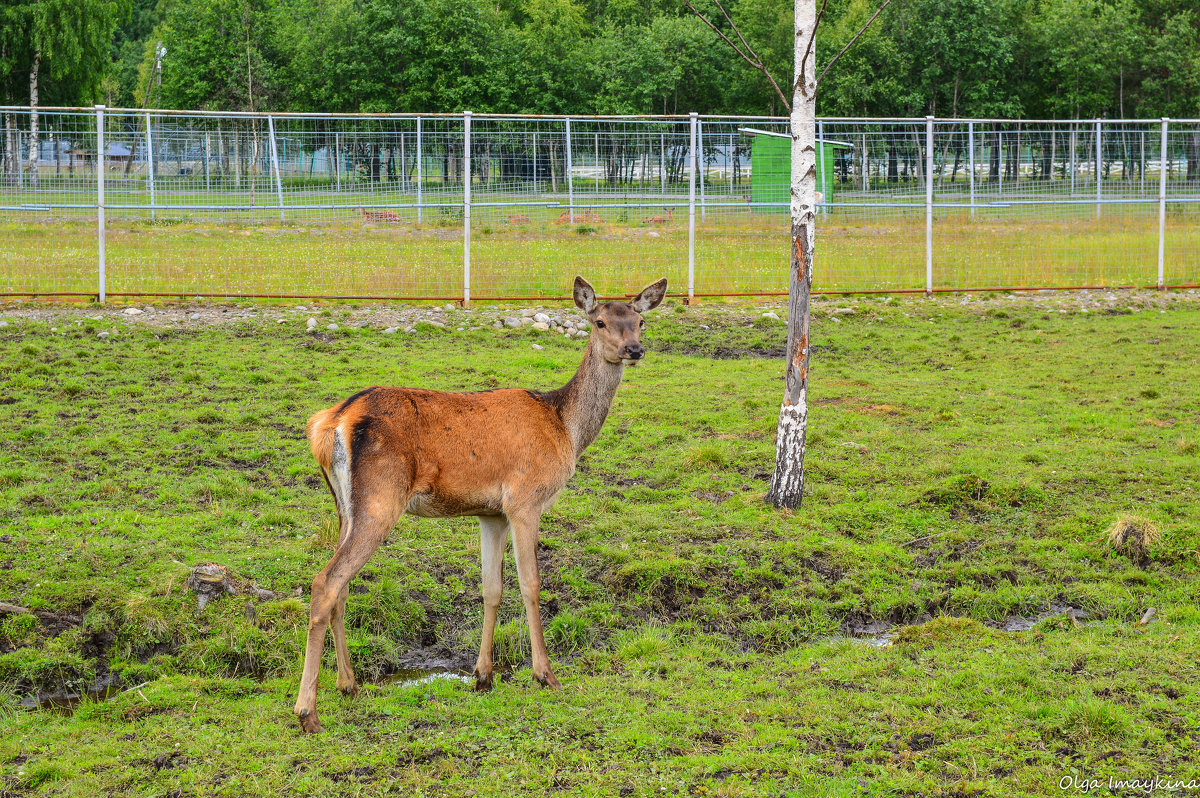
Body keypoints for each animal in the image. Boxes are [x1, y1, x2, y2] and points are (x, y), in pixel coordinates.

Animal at [290, 277, 667, 729]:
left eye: (641, 321)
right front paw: (545, 674)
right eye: (600, 321)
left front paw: (483, 675)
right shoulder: (525, 501)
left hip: (345, 506)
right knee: (326, 582)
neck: (565, 427)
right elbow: (531, 584)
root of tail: (330, 422)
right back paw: (307, 711)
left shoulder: (491, 514)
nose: (634, 349)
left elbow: (491, 589)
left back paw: (348, 684)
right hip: (381, 498)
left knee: (341, 586)